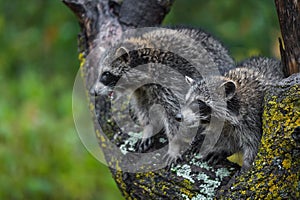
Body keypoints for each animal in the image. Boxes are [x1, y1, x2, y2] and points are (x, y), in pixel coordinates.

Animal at [90, 27, 236, 167]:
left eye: (106, 74)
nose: (93, 92)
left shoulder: (170, 80)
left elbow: (175, 114)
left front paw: (174, 145)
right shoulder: (141, 90)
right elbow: (143, 108)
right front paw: (147, 128)